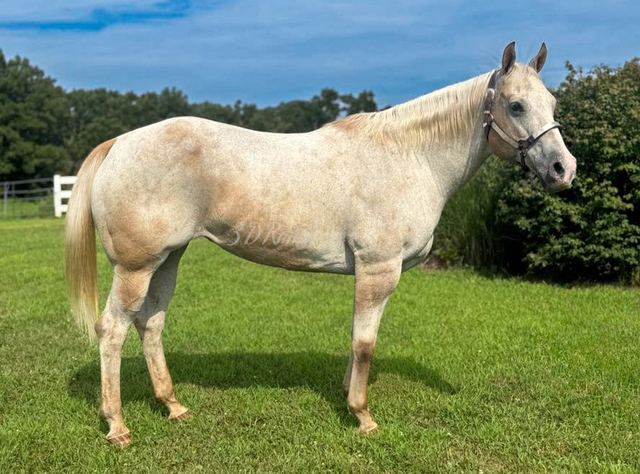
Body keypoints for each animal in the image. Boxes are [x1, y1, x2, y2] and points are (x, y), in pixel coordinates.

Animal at [65, 42, 577, 447]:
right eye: (515, 105)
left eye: (551, 102)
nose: (563, 169)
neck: (409, 157)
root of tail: (120, 143)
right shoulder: (378, 269)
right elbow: (366, 342)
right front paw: (363, 416)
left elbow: (355, 340)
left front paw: (349, 398)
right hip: (135, 267)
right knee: (113, 329)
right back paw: (117, 426)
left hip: (168, 259)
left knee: (150, 324)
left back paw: (173, 406)